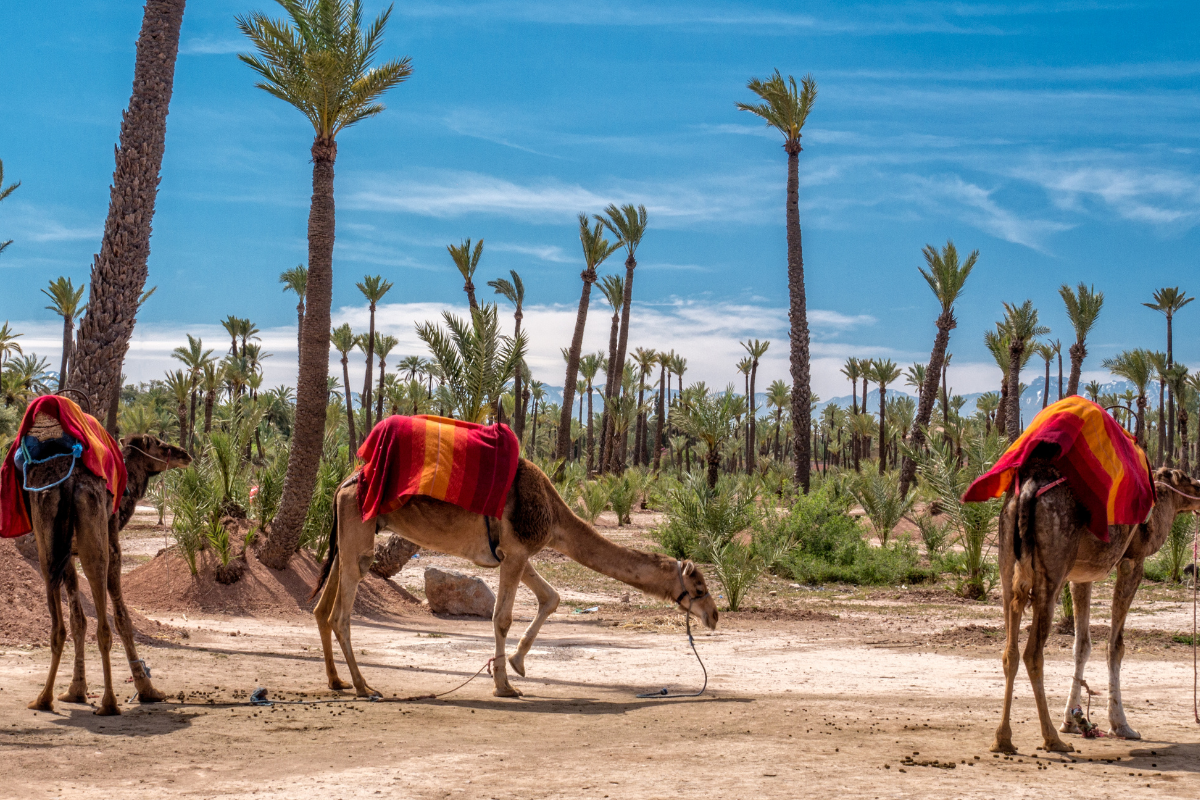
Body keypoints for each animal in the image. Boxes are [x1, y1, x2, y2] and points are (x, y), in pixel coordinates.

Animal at [0, 398, 189, 714]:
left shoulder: (67, 555)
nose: (185, 454)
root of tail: (68, 481)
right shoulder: (113, 544)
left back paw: (43, 698)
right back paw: (109, 703)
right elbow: (123, 619)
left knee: (58, 626)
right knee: (104, 624)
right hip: (94, 535)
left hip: (46, 540)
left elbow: (78, 621)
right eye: (160, 444)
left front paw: (74, 691)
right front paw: (148, 690)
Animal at [314, 417, 715, 695]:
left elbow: (551, 597)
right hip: (359, 534)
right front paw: (505, 685)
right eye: (698, 586)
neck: (554, 516)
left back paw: (337, 682)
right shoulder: (517, 552)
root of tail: (344, 484)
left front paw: (517, 664)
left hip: (347, 538)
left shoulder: (515, 554)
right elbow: (503, 617)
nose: (713, 616)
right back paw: (364, 686)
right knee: (340, 615)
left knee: (321, 607)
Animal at [964, 398, 1200, 753]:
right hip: (1052, 568)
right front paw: (1121, 725)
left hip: (1008, 559)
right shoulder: (1132, 562)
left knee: (1010, 649)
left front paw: (1073, 719)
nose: (1199, 490)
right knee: (1033, 651)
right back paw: (1051, 739)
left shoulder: (1080, 576)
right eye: (1185, 477)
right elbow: (1115, 645)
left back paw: (1003, 739)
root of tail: (1027, 490)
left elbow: (1082, 644)